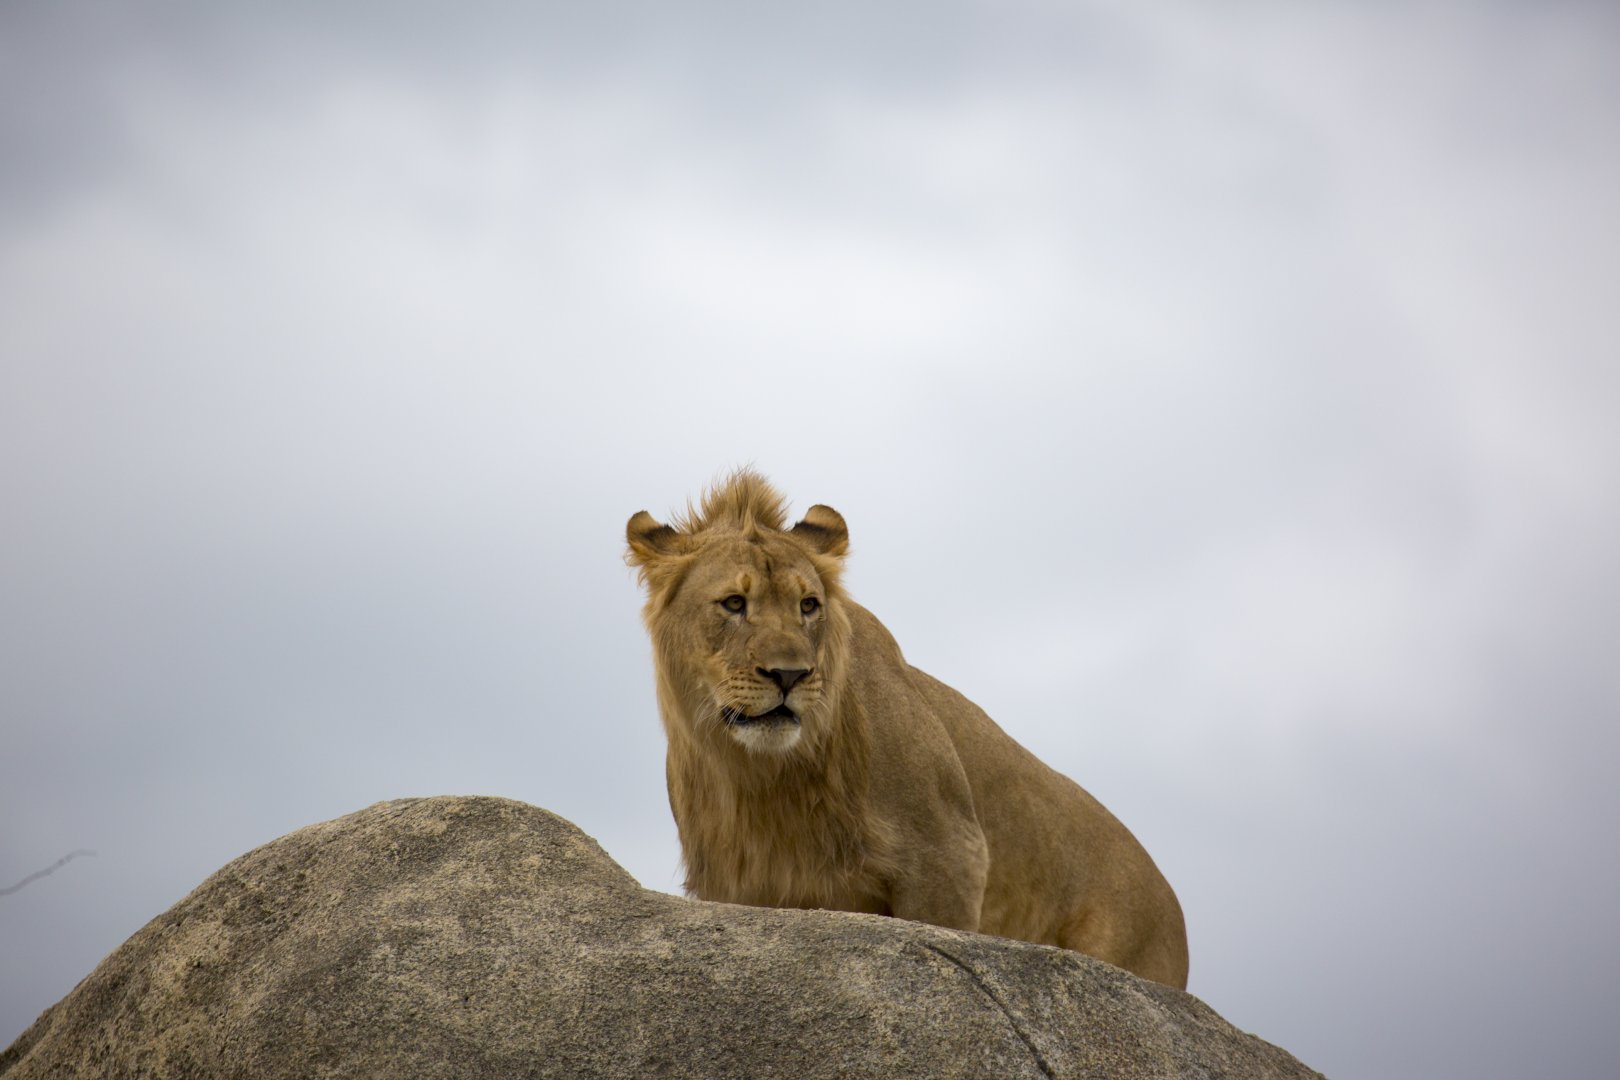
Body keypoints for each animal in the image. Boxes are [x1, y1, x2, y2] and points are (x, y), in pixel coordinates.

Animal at [626, 470, 1189, 988]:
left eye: (808, 605)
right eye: (734, 604)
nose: (790, 675)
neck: (765, 780)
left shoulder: (952, 858)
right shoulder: (736, 890)